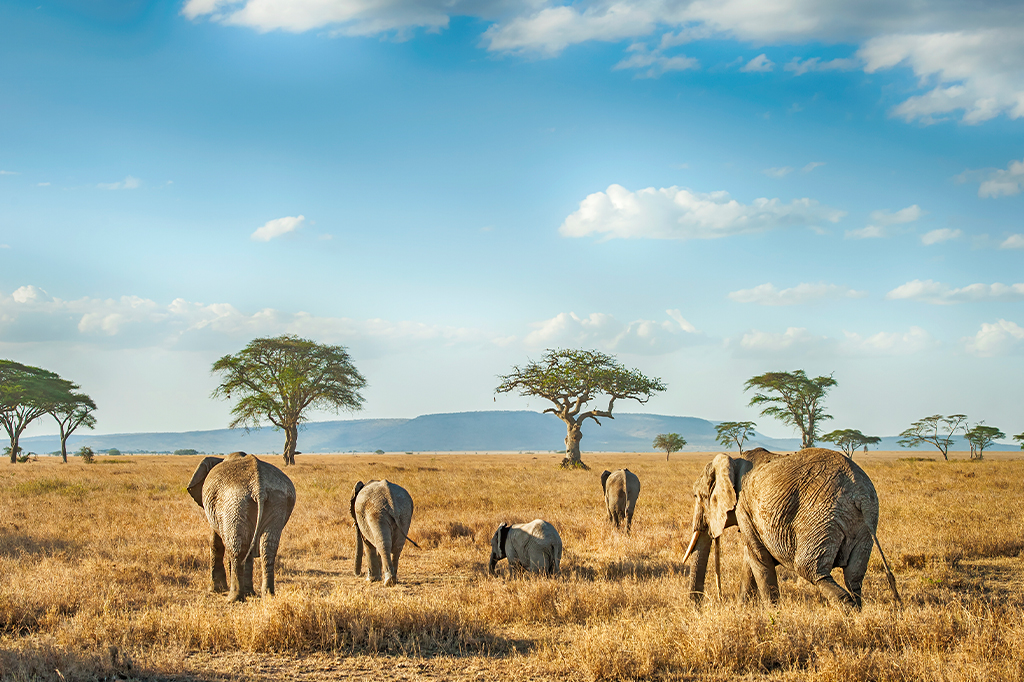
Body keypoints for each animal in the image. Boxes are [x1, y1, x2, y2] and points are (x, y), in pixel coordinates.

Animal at [187, 452, 296, 602]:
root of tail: (259, 487)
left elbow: (216, 542)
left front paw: (216, 590)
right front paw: (250, 593)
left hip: (234, 502)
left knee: (237, 548)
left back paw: (234, 598)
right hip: (277, 500)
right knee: (267, 547)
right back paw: (268, 595)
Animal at [682, 447, 900, 609]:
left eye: (698, 497)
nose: (698, 608)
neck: (732, 461)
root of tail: (860, 494)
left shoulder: (744, 506)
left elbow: (758, 558)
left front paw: (773, 613)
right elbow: (751, 559)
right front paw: (743, 610)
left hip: (821, 516)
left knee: (810, 569)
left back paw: (847, 611)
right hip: (865, 523)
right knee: (854, 576)